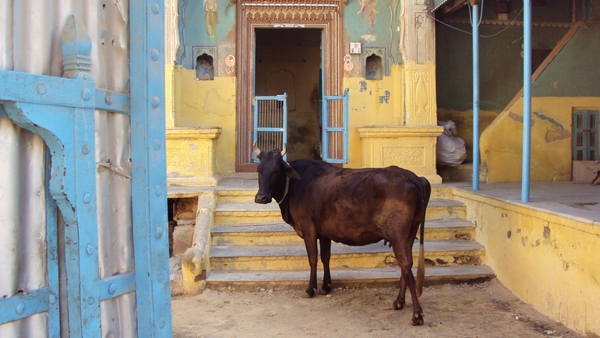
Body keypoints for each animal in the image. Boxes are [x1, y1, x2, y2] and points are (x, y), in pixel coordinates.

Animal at [253, 143, 432, 324]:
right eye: (259, 170)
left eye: (276, 171)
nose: (261, 197)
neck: (296, 185)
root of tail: (412, 177)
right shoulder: (324, 233)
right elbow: (325, 257)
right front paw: (326, 286)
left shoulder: (308, 228)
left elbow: (313, 259)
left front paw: (311, 289)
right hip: (410, 232)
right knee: (406, 264)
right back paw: (398, 302)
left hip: (397, 234)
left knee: (405, 265)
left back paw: (416, 314)